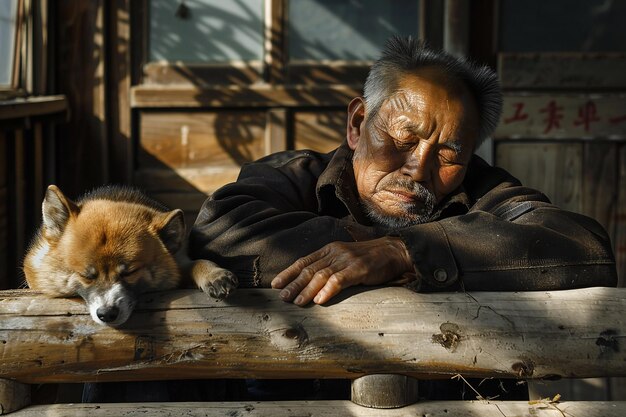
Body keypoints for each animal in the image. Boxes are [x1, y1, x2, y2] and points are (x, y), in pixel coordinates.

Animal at [23, 184, 235, 324]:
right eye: (86, 276)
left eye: (129, 272)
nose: (107, 314)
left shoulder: (178, 260)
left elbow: (197, 262)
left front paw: (214, 275)